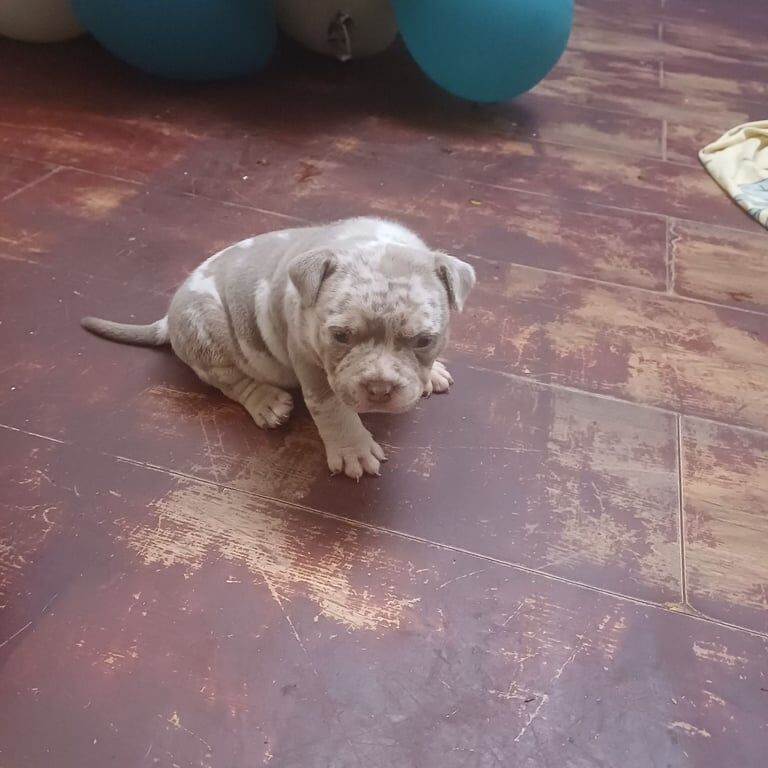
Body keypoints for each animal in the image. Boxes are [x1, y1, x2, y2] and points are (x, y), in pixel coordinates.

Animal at [81, 217, 475, 479]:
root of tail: (167, 319)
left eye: (424, 340)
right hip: (208, 330)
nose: (379, 389)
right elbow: (333, 410)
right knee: (229, 380)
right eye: (340, 336)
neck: (368, 242)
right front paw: (354, 451)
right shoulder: (311, 364)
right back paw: (267, 403)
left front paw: (432, 373)